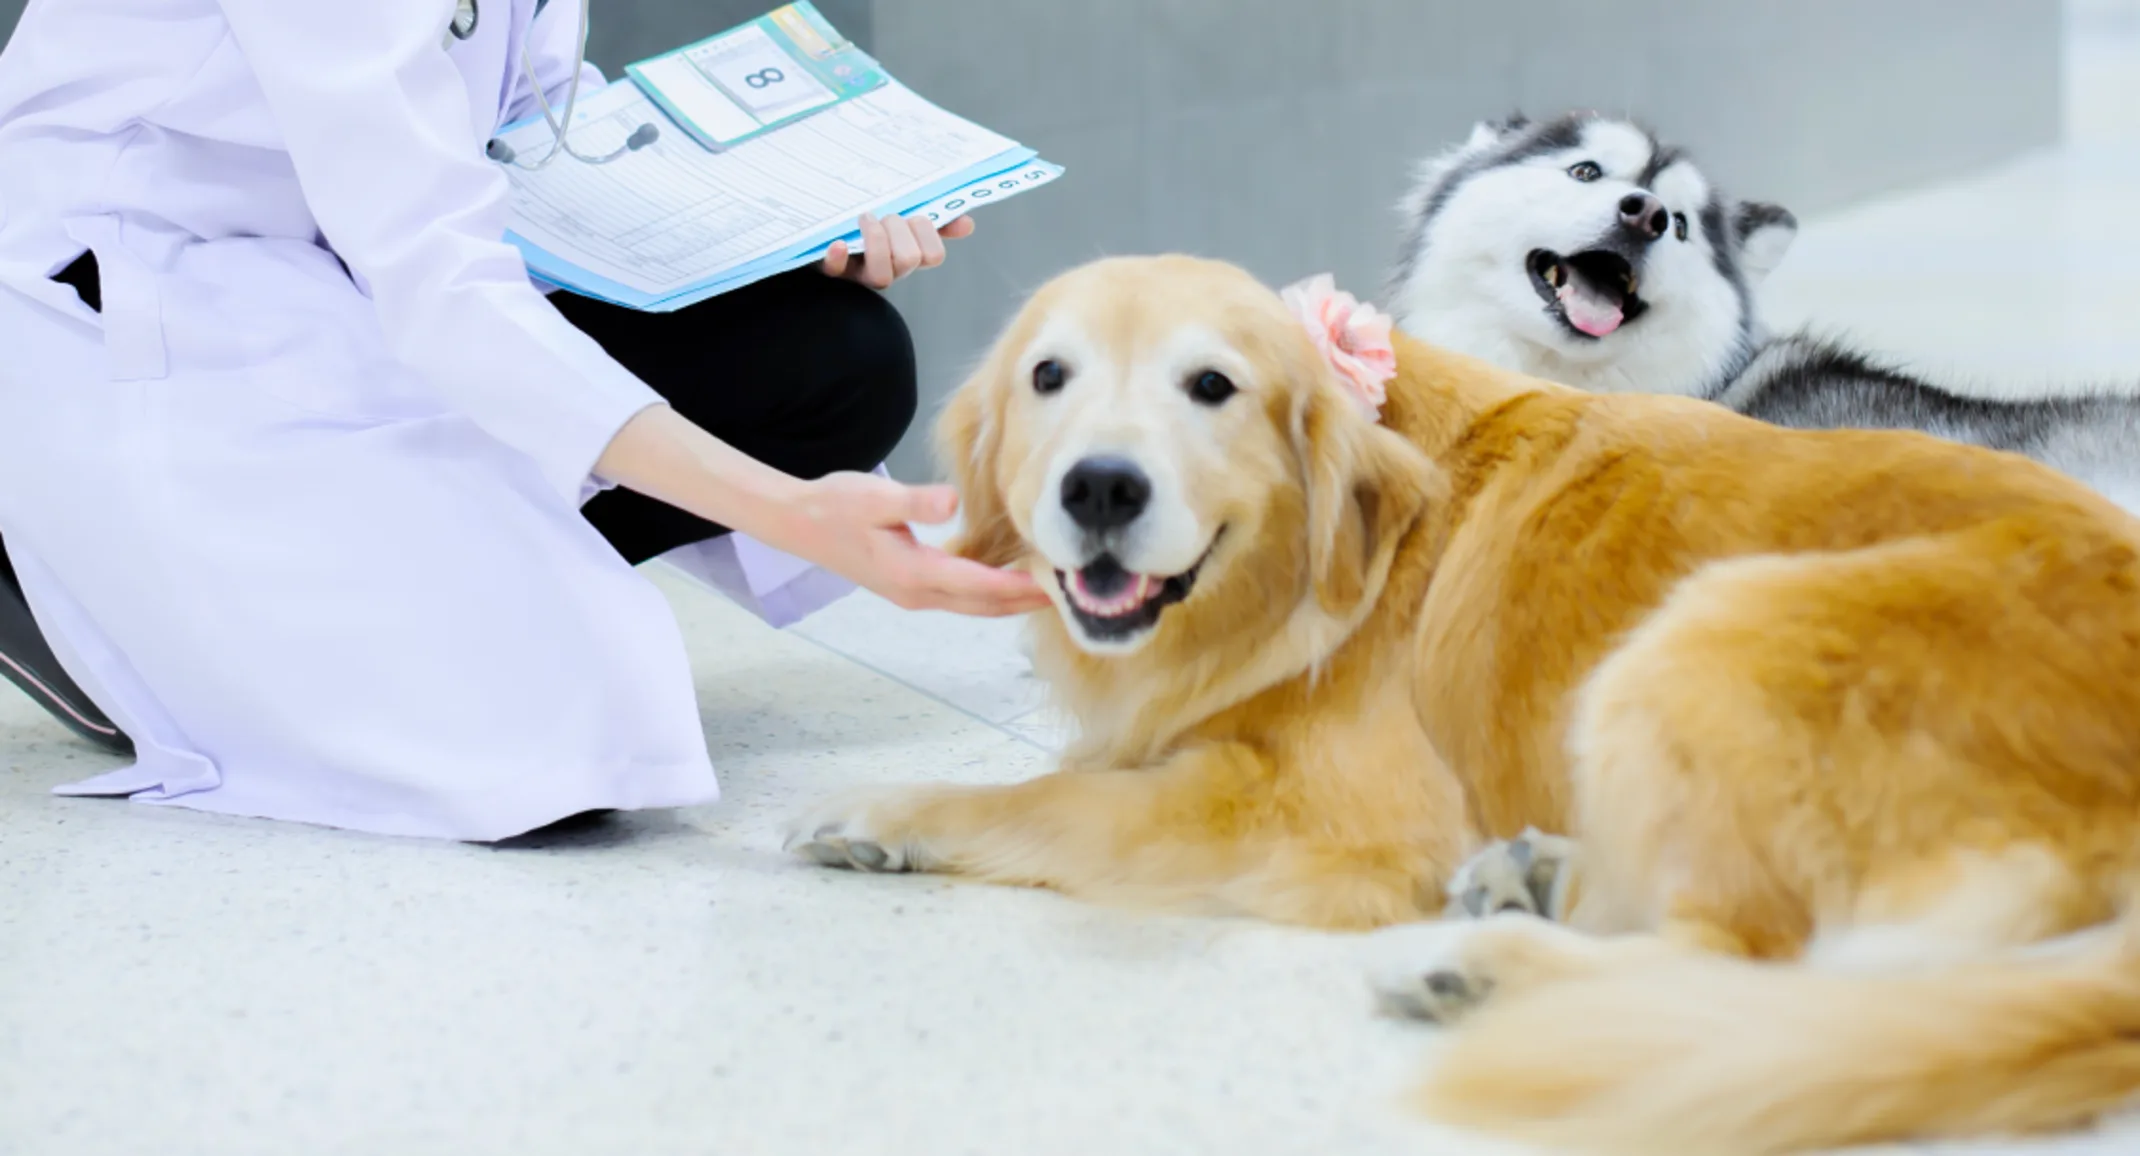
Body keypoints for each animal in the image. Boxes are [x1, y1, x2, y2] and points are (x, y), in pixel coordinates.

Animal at [783, 256, 2140, 1147]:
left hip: (1705, 631)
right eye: (1050, 376)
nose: (1100, 488)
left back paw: (1479, 960)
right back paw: (1534, 880)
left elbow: (1054, 798)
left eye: (1212, 386)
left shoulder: (1326, 817)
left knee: (1756, 968)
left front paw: (882, 810)